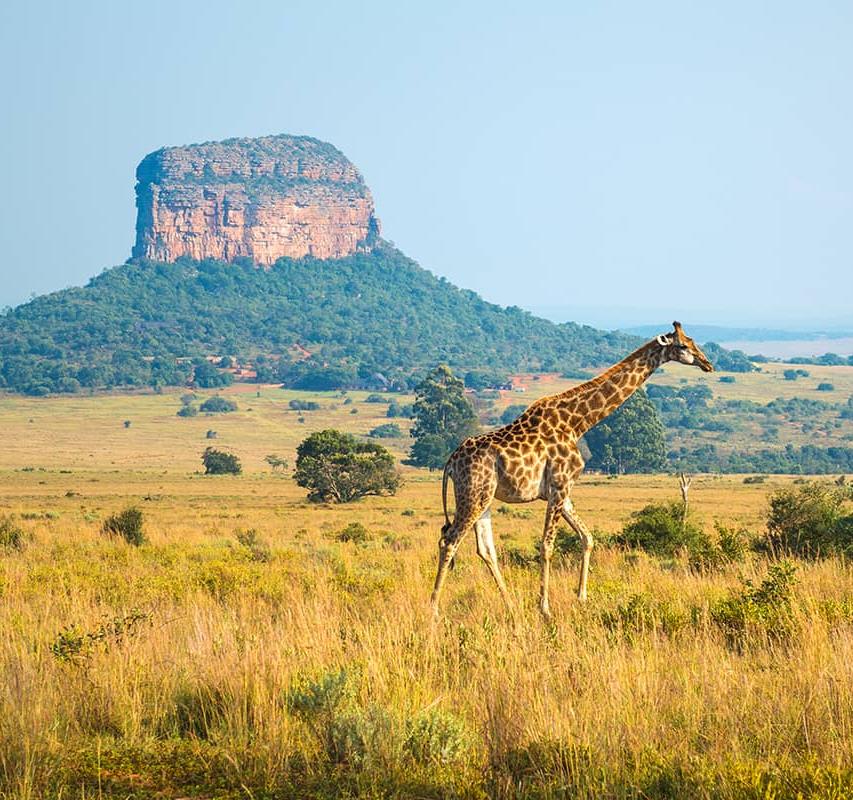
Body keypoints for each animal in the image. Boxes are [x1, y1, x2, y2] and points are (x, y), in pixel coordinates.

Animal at [430, 320, 716, 620]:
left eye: (693, 341)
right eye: (683, 345)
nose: (708, 364)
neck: (578, 423)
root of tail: (451, 462)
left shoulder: (563, 490)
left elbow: (587, 537)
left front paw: (582, 597)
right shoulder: (559, 485)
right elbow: (547, 545)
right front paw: (544, 608)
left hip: (484, 497)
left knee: (485, 549)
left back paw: (511, 606)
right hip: (473, 494)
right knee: (449, 541)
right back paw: (434, 609)